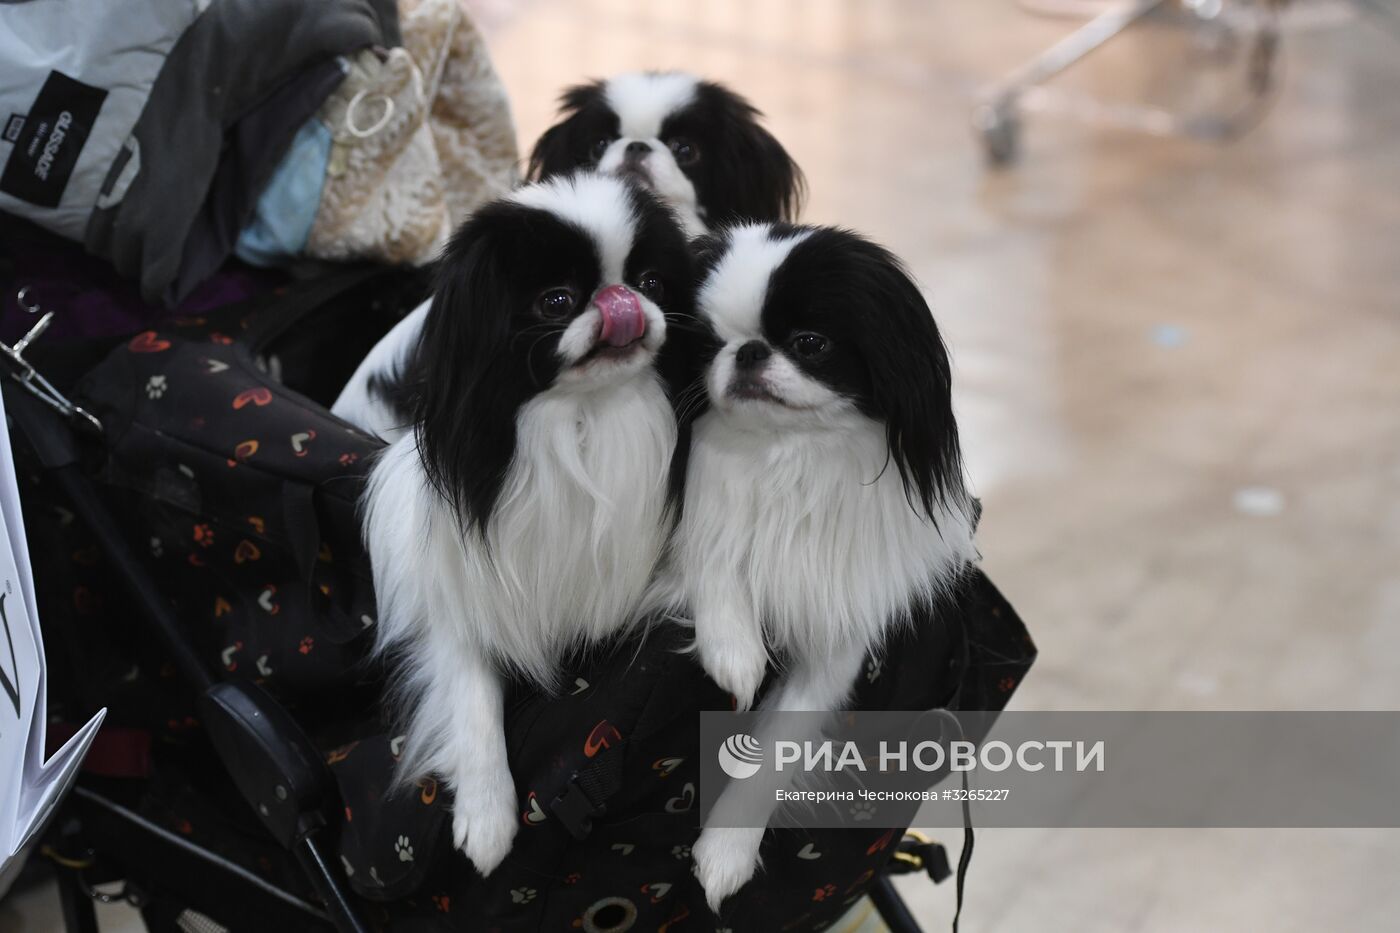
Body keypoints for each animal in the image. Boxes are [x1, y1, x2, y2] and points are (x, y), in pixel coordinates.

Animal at [358, 172, 691, 874]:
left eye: (651, 282)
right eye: (555, 301)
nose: (624, 303)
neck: (580, 421)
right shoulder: (453, 596)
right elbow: (471, 691)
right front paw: (486, 816)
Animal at [663, 221, 974, 902]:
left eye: (811, 344)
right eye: (707, 344)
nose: (747, 353)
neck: (788, 458)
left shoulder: (836, 639)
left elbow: (774, 751)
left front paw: (725, 853)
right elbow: (715, 549)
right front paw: (736, 657)